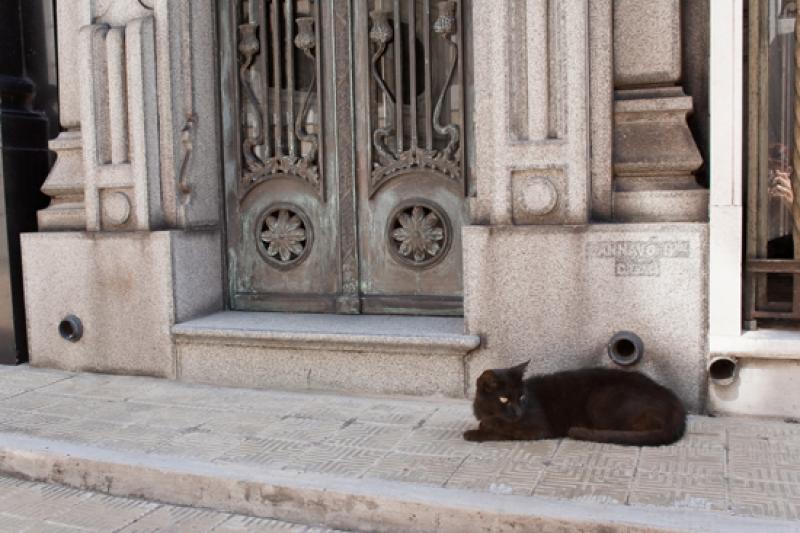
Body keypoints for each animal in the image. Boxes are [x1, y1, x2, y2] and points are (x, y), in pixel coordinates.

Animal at [466, 362, 684, 444]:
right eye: (504, 398)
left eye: (521, 397)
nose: (519, 411)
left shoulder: (538, 428)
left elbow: (504, 432)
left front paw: (474, 433)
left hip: (600, 398)